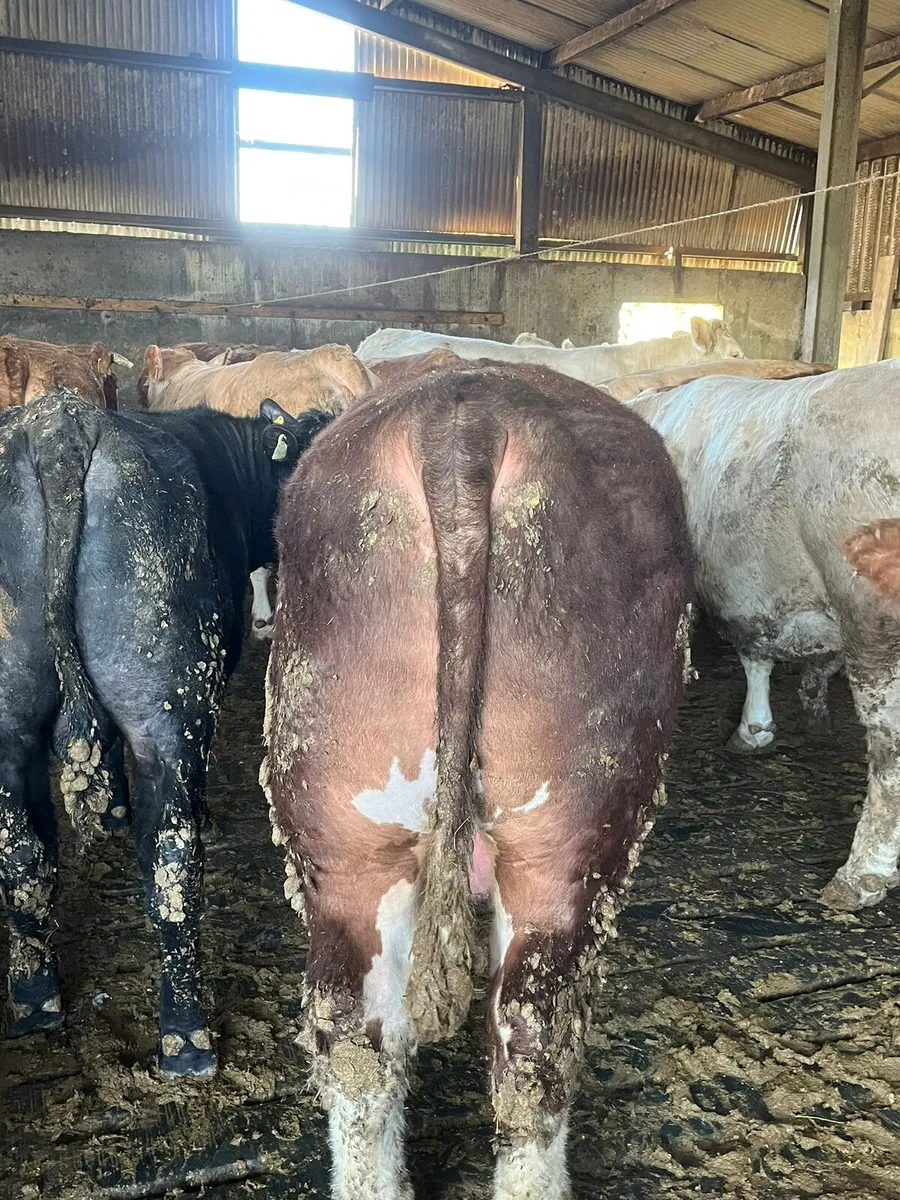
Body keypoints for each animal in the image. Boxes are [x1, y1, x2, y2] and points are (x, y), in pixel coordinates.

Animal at [0, 388, 332, 1075]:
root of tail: (60, 423)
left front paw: (114, 811)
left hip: (12, 714)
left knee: (22, 852)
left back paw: (36, 998)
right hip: (170, 709)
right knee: (173, 861)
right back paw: (187, 1034)